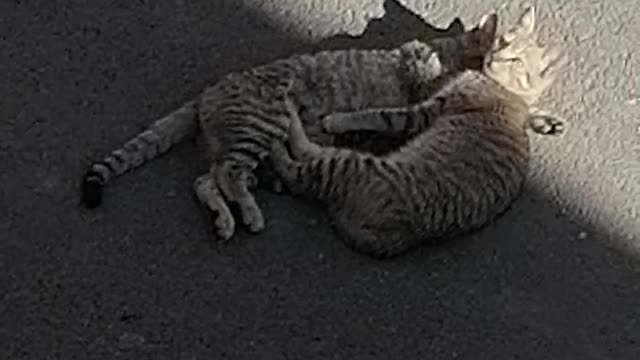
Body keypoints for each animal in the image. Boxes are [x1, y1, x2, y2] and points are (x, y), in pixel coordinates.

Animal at [81, 13, 500, 242]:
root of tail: (206, 93)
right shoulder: (417, 61)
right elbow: (423, 70)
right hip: (261, 124)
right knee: (228, 173)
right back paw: (248, 211)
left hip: (238, 140)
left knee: (207, 179)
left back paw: (227, 217)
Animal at [268, 6, 568, 258]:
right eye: (503, 42)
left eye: (515, 60)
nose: (494, 57)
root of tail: (403, 237)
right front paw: (541, 119)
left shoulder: (422, 108)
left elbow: (375, 114)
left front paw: (338, 119)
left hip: (353, 165)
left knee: (300, 165)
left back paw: (286, 132)